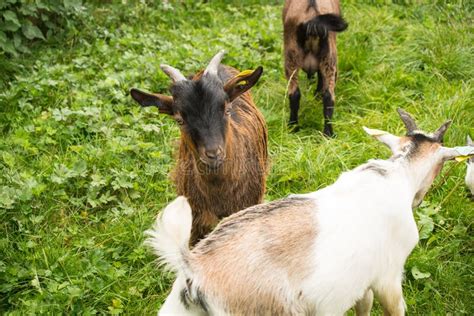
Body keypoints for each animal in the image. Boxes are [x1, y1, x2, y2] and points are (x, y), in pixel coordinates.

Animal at [145, 109, 470, 316]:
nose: (418, 199)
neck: (396, 174)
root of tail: (193, 268)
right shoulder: (387, 277)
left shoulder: (361, 280)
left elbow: (363, 306)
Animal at [284, 0, 346, 136]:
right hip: (329, 59)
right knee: (329, 97)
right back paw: (328, 134)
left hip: (292, 57)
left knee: (295, 94)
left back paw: (293, 127)